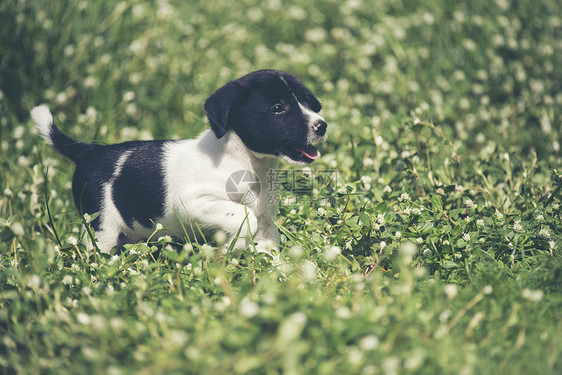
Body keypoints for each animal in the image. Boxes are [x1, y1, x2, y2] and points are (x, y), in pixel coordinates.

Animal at [30, 70, 326, 258]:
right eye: (278, 108)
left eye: (308, 103)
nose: (322, 125)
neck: (247, 162)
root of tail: (88, 151)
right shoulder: (194, 203)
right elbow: (242, 216)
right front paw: (235, 244)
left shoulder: (266, 219)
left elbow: (267, 242)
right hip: (101, 227)